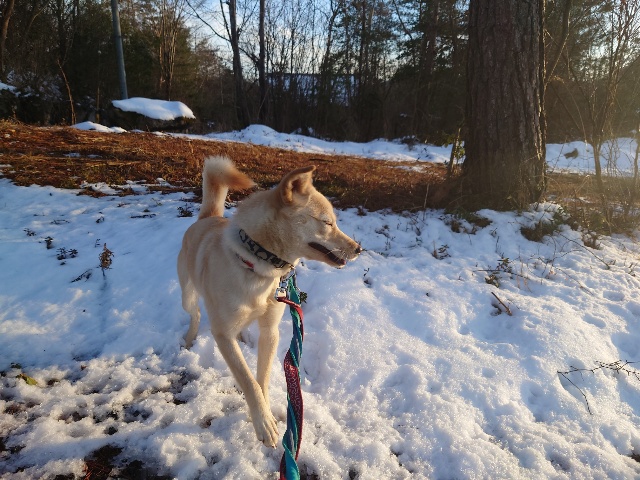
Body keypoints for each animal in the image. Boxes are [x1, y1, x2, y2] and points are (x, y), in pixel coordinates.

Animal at [177, 156, 361, 447]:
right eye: (327, 222)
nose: (359, 249)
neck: (258, 265)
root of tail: (207, 218)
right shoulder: (222, 334)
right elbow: (248, 380)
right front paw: (263, 424)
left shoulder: (270, 331)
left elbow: (261, 379)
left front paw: (266, 416)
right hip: (187, 293)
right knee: (194, 313)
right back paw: (189, 338)